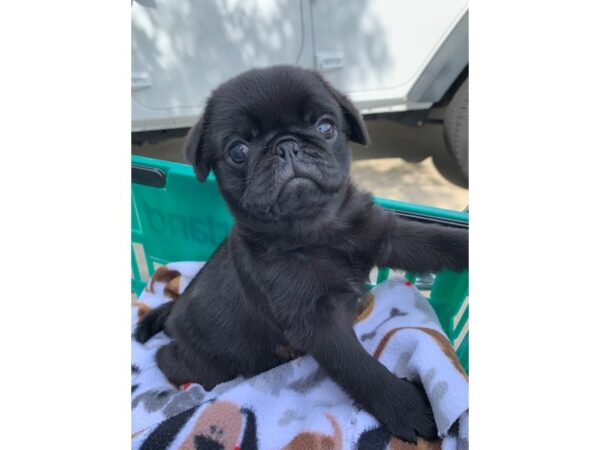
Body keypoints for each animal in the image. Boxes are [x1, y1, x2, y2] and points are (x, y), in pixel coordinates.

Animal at [137, 65, 468, 442]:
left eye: (326, 127)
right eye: (238, 151)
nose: (286, 145)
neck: (316, 230)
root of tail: (174, 310)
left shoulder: (388, 237)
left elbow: (438, 240)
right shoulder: (317, 322)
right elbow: (359, 366)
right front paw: (404, 406)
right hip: (208, 364)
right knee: (169, 359)